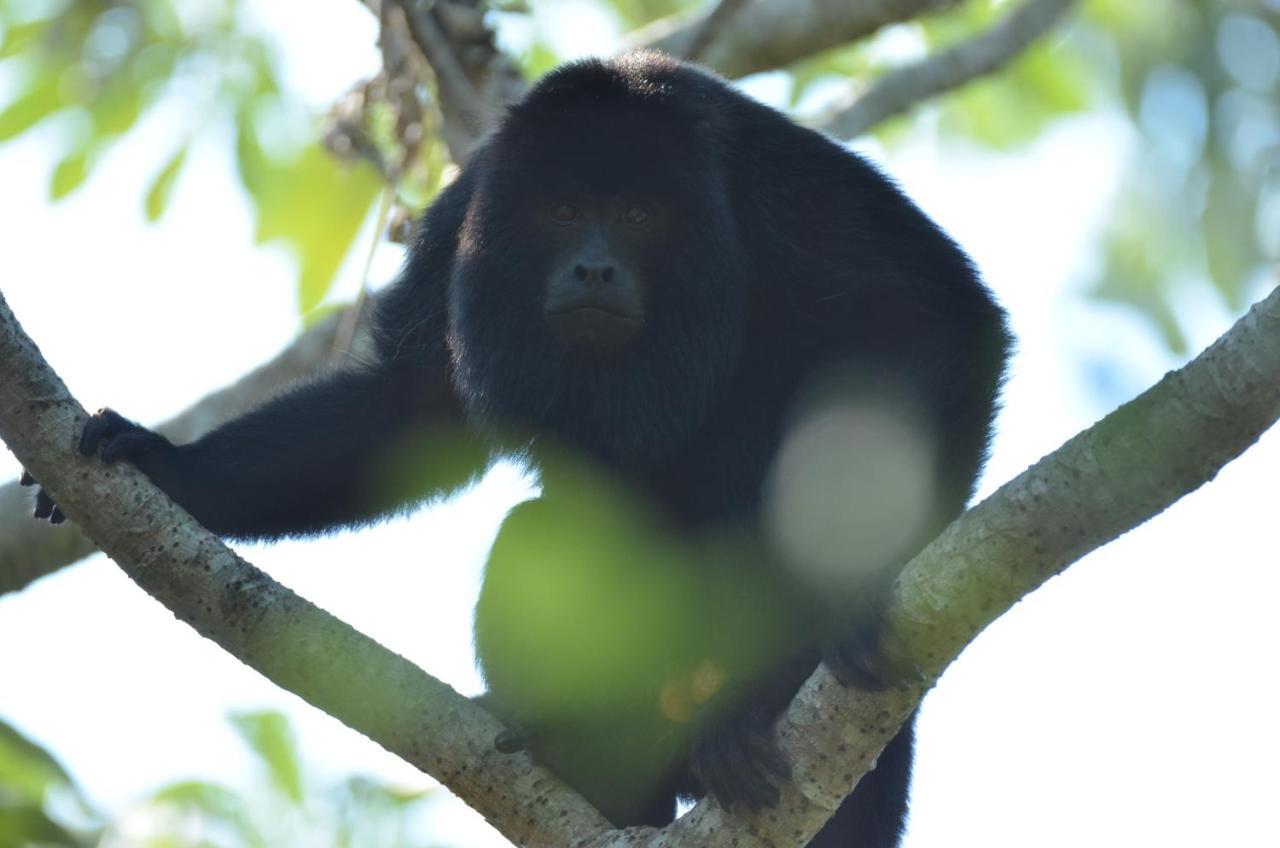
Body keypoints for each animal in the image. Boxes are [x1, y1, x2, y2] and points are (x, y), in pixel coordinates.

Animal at [24, 54, 1008, 848]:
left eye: (638, 213)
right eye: (563, 209)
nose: (594, 266)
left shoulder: (787, 184)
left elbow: (946, 320)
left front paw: (849, 601)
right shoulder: (468, 206)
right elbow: (408, 406)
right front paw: (163, 463)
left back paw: (751, 710)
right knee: (536, 534)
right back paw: (590, 766)